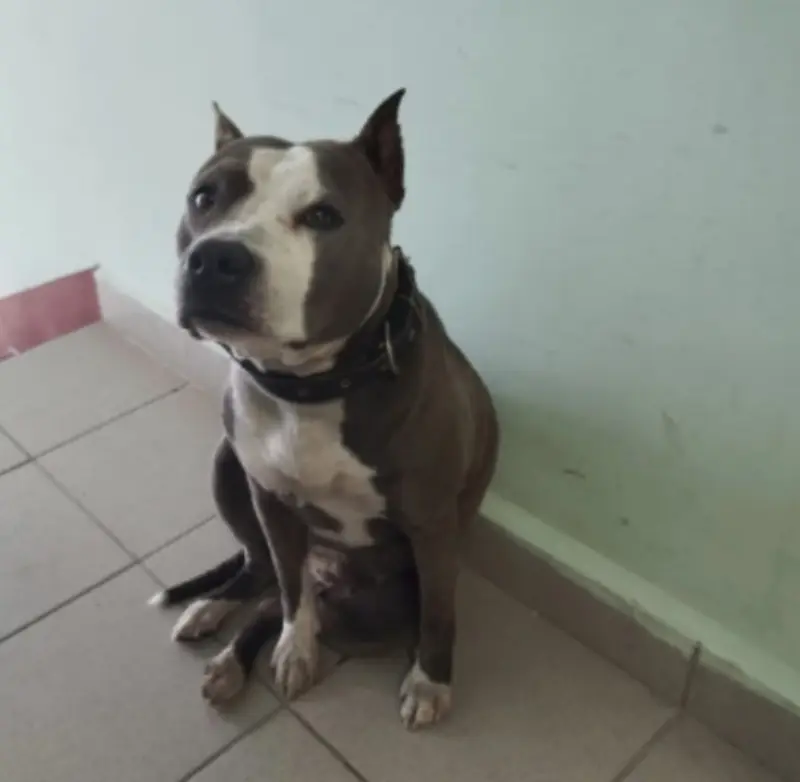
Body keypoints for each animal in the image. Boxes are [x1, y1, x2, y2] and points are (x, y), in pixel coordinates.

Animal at [152, 90, 499, 730]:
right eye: (204, 198)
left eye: (323, 216)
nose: (216, 259)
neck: (309, 388)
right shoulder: (269, 501)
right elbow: (292, 594)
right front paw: (296, 649)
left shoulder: (433, 525)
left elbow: (439, 611)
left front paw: (430, 681)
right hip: (226, 467)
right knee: (263, 576)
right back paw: (221, 628)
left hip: (381, 604)